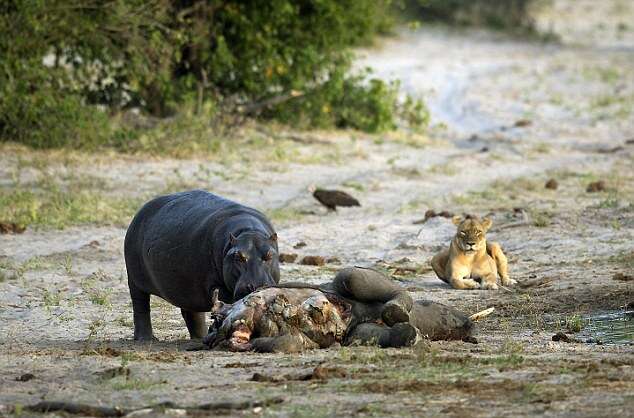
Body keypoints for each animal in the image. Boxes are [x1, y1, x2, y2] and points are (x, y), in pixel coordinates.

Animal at [124, 191, 278, 342]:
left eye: (270, 255)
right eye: (237, 256)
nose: (256, 286)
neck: (247, 232)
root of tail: (140, 211)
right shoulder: (217, 286)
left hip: (187, 289)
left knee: (191, 313)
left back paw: (199, 337)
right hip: (135, 280)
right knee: (141, 306)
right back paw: (146, 339)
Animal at [202, 266, 470, 352]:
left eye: (215, 320)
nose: (217, 334)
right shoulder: (291, 341)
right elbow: (287, 342)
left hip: (350, 279)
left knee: (354, 277)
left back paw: (396, 309)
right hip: (360, 333)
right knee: (382, 333)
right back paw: (407, 333)